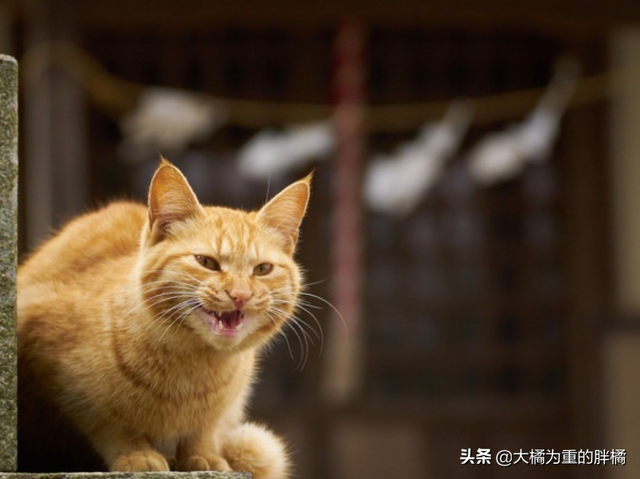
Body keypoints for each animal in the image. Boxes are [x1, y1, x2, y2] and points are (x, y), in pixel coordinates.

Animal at [19, 159, 310, 478]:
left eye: (262, 269)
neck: (191, 371)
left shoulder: (223, 409)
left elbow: (204, 429)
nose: (240, 295)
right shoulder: (55, 365)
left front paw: (202, 455)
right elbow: (111, 422)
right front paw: (136, 453)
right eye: (206, 262)